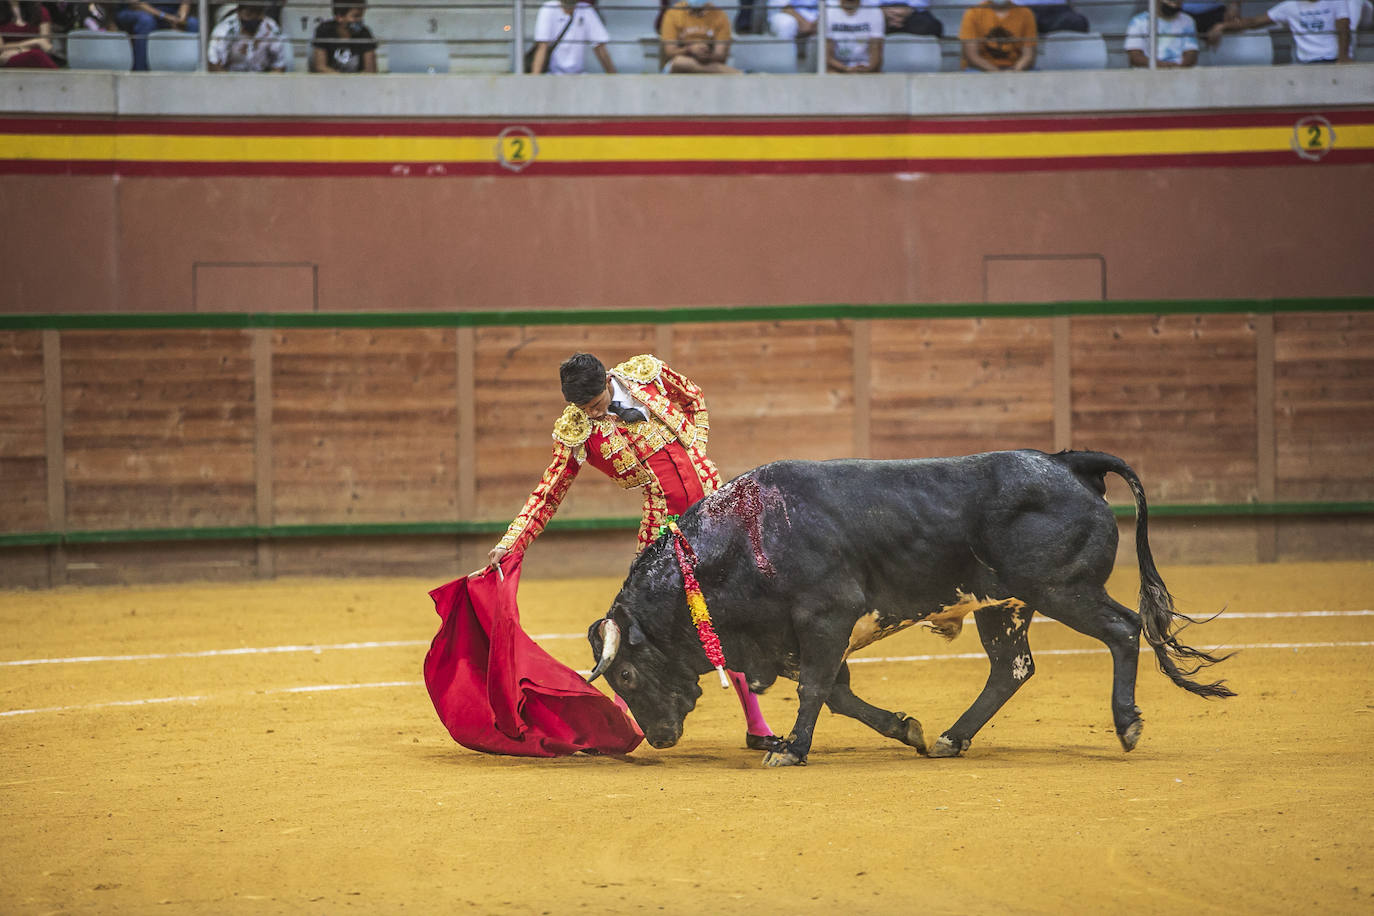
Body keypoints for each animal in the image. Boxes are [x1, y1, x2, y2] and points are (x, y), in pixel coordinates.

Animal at [588, 450, 1236, 769]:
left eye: (627, 675)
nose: (658, 739)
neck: (744, 540)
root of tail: (1066, 462)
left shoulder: (826, 617)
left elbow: (817, 689)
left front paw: (790, 750)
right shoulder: (797, 640)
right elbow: (839, 694)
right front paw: (907, 729)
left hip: (1063, 590)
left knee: (1124, 629)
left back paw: (1127, 725)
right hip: (1003, 605)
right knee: (1012, 668)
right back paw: (951, 738)